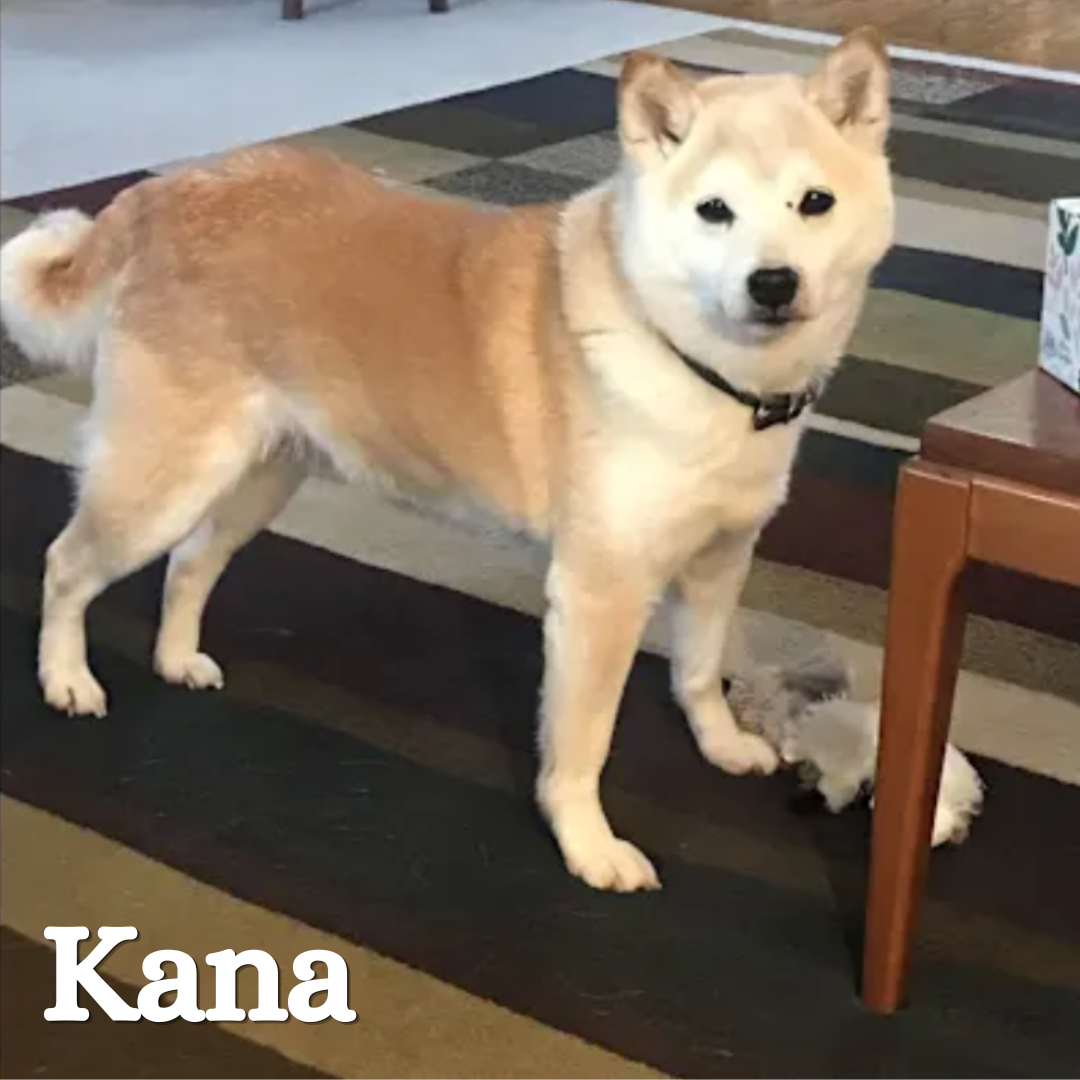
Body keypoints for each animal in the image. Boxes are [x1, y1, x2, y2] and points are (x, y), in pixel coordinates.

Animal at [0, 29, 895, 891]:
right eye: (714, 210)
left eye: (814, 203)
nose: (773, 282)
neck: (694, 361)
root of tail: (165, 191)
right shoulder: (600, 593)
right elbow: (583, 745)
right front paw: (588, 847)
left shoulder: (717, 559)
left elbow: (701, 672)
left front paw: (721, 743)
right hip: (159, 483)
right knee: (66, 565)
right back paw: (65, 679)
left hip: (257, 478)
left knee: (189, 566)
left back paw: (177, 658)